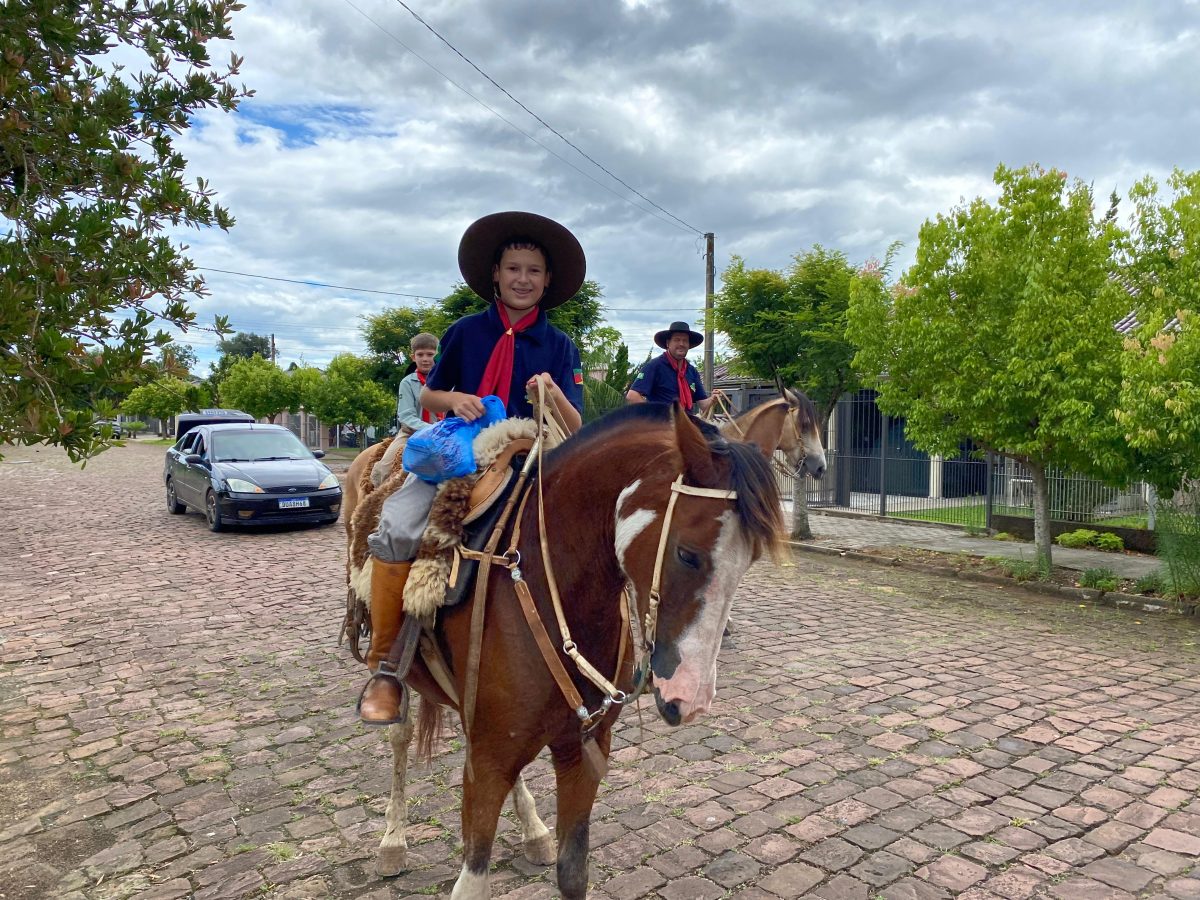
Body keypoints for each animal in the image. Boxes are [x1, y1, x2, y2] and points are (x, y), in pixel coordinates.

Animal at [379, 405, 782, 897]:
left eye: (750, 561)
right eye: (687, 554)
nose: (692, 698)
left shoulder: (579, 753)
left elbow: (573, 871)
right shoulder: (487, 764)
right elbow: (473, 876)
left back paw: (533, 830)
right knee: (399, 735)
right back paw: (393, 839)